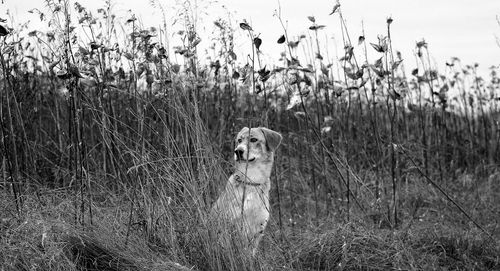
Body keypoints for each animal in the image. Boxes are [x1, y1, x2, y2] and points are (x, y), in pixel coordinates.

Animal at [210, 127, 282, 255]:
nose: (238, 151)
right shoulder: (228, 225)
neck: (251, 181)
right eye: (239, 140)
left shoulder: (257, 230)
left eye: (253, 139)